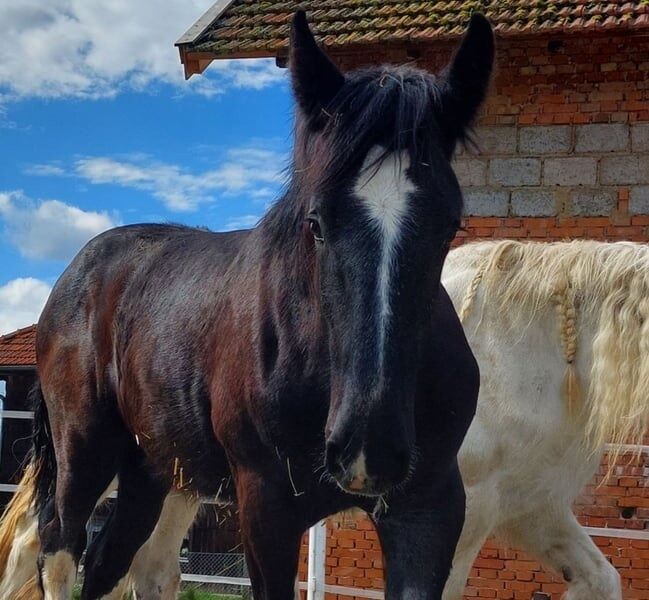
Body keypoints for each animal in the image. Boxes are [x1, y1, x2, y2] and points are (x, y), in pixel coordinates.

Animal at [30, 10, 492, 600]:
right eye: (316, 223)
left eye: (449, 225)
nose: (369, 446)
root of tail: (75, 274)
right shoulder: (266, 511)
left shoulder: (427, 511)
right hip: (84, 452)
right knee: (61, 549)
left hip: (149, 470)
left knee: (108, 560)